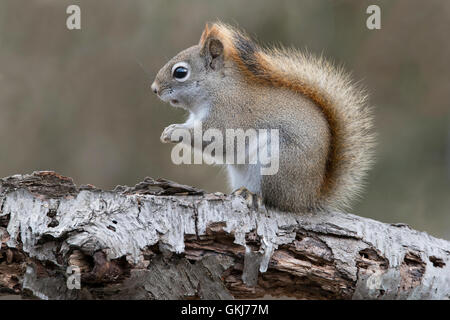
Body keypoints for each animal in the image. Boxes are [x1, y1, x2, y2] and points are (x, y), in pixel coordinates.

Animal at [152, 23, 376, 212]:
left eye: (181, 72)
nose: (154, 89)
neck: (219, 89)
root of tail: (307, 198)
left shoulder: (230, 115)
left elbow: (216, 140)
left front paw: (174, 131)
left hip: (277, 163)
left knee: (273, 199)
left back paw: (253, 195)